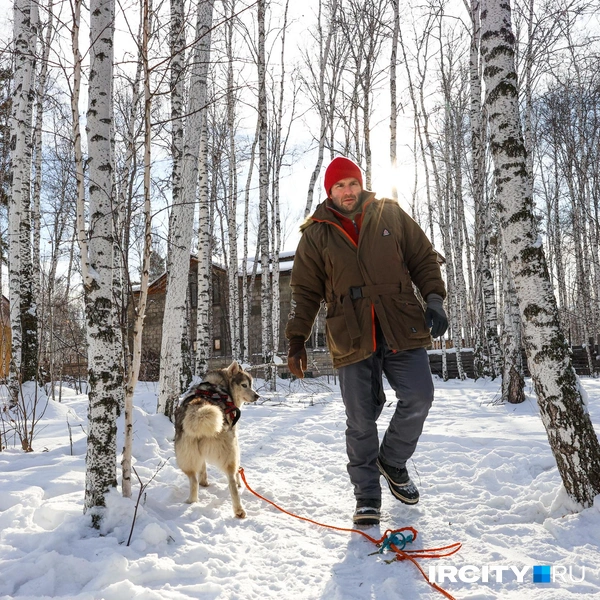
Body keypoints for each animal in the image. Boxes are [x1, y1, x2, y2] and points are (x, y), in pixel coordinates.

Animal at [172, 360, 258, 520]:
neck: (219, 385)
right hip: (229, 452)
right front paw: (239, 482)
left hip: (185, 457)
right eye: (245, 385)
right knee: (231, 479)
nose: (257, 396)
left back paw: (191, 501)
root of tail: (197, 409)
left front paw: (204, 481)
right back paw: (239, 510)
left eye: (251, 384)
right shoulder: (235, 438)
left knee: (193, 480)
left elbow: (203, 466)